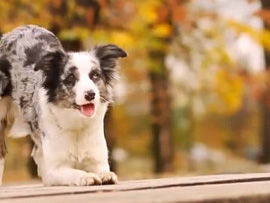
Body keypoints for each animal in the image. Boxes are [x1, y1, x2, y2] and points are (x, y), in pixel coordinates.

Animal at [0, 25, 126, 186]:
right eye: (71, 77)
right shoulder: (56, 169)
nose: (90, 94)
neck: (77, 125)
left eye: (95, 75)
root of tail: (17, 30)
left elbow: (104, 171)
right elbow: (73, 172)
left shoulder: (98, 160)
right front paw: (86, 176)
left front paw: (105, 175)